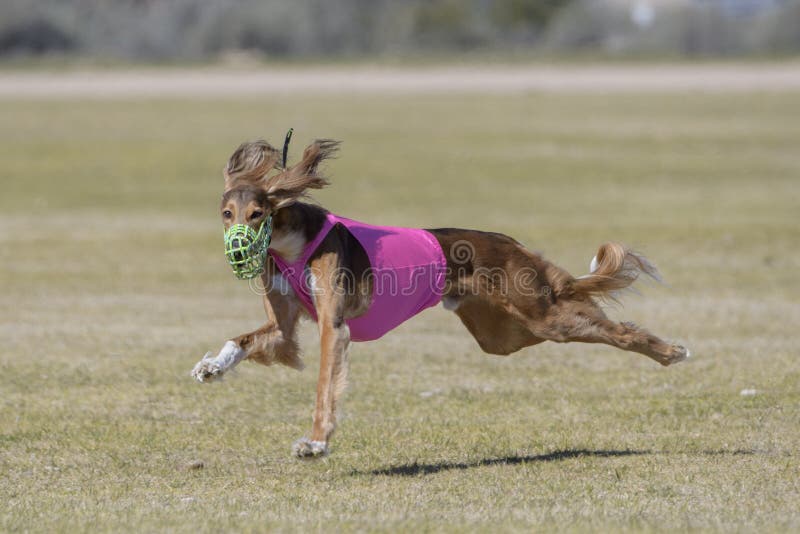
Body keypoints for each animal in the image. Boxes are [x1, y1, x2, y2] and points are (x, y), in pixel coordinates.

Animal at [192, 138, 688, 460]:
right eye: (227, 214)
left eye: (258, 213)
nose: (239, 252)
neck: (293, 244)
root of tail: (512, 244)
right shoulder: (285, 328)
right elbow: (246, 339)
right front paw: (212, 365)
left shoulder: (334, 326)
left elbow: (323, 387)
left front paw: (315, 442)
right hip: (501, 334)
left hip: (542, 314)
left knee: (613, 329)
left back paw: (670, 351)